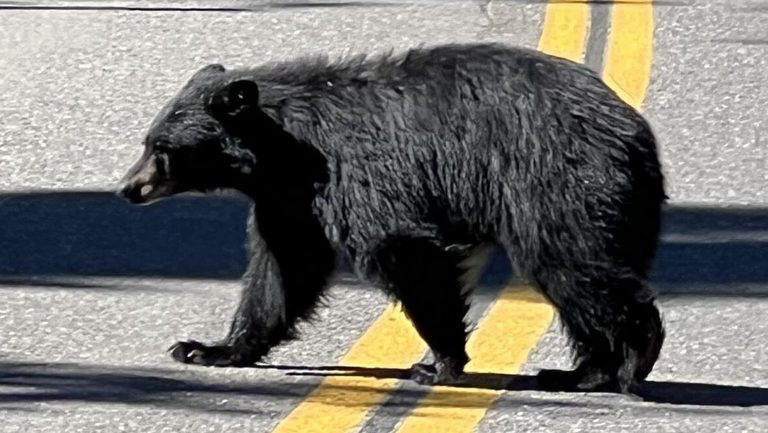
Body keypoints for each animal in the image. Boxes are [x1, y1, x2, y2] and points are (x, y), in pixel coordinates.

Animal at [118, 42, 667, 394]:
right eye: (148, 141)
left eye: (161, 148)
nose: (128, 188)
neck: (285, 150)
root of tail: (638, 134)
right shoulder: (290, 200)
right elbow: (284, 269)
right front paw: (207, 348)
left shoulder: (357, 172)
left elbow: (401, 250)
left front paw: (438, 364)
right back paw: (581, 372)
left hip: (556, 186)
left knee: (573, 267)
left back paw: (631, 360)